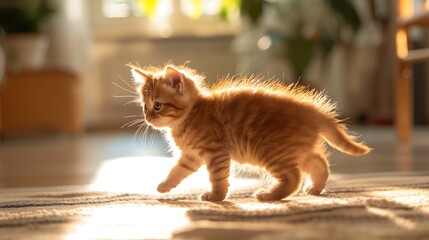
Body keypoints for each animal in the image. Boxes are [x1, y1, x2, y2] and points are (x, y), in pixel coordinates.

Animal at [129, 63, 370, 201]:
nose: (148, 117)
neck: (190, 116)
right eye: (144, 106)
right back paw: (315, 189)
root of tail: (312, 110)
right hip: (296, 149)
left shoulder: (216, 152)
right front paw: (164, 185)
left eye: (158, 106)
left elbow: (218, 177)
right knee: (319, 163)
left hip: (272, 151)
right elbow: (176, 171)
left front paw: (216, 197)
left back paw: (269, 196)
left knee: (294, 177)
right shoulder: (192, 156)